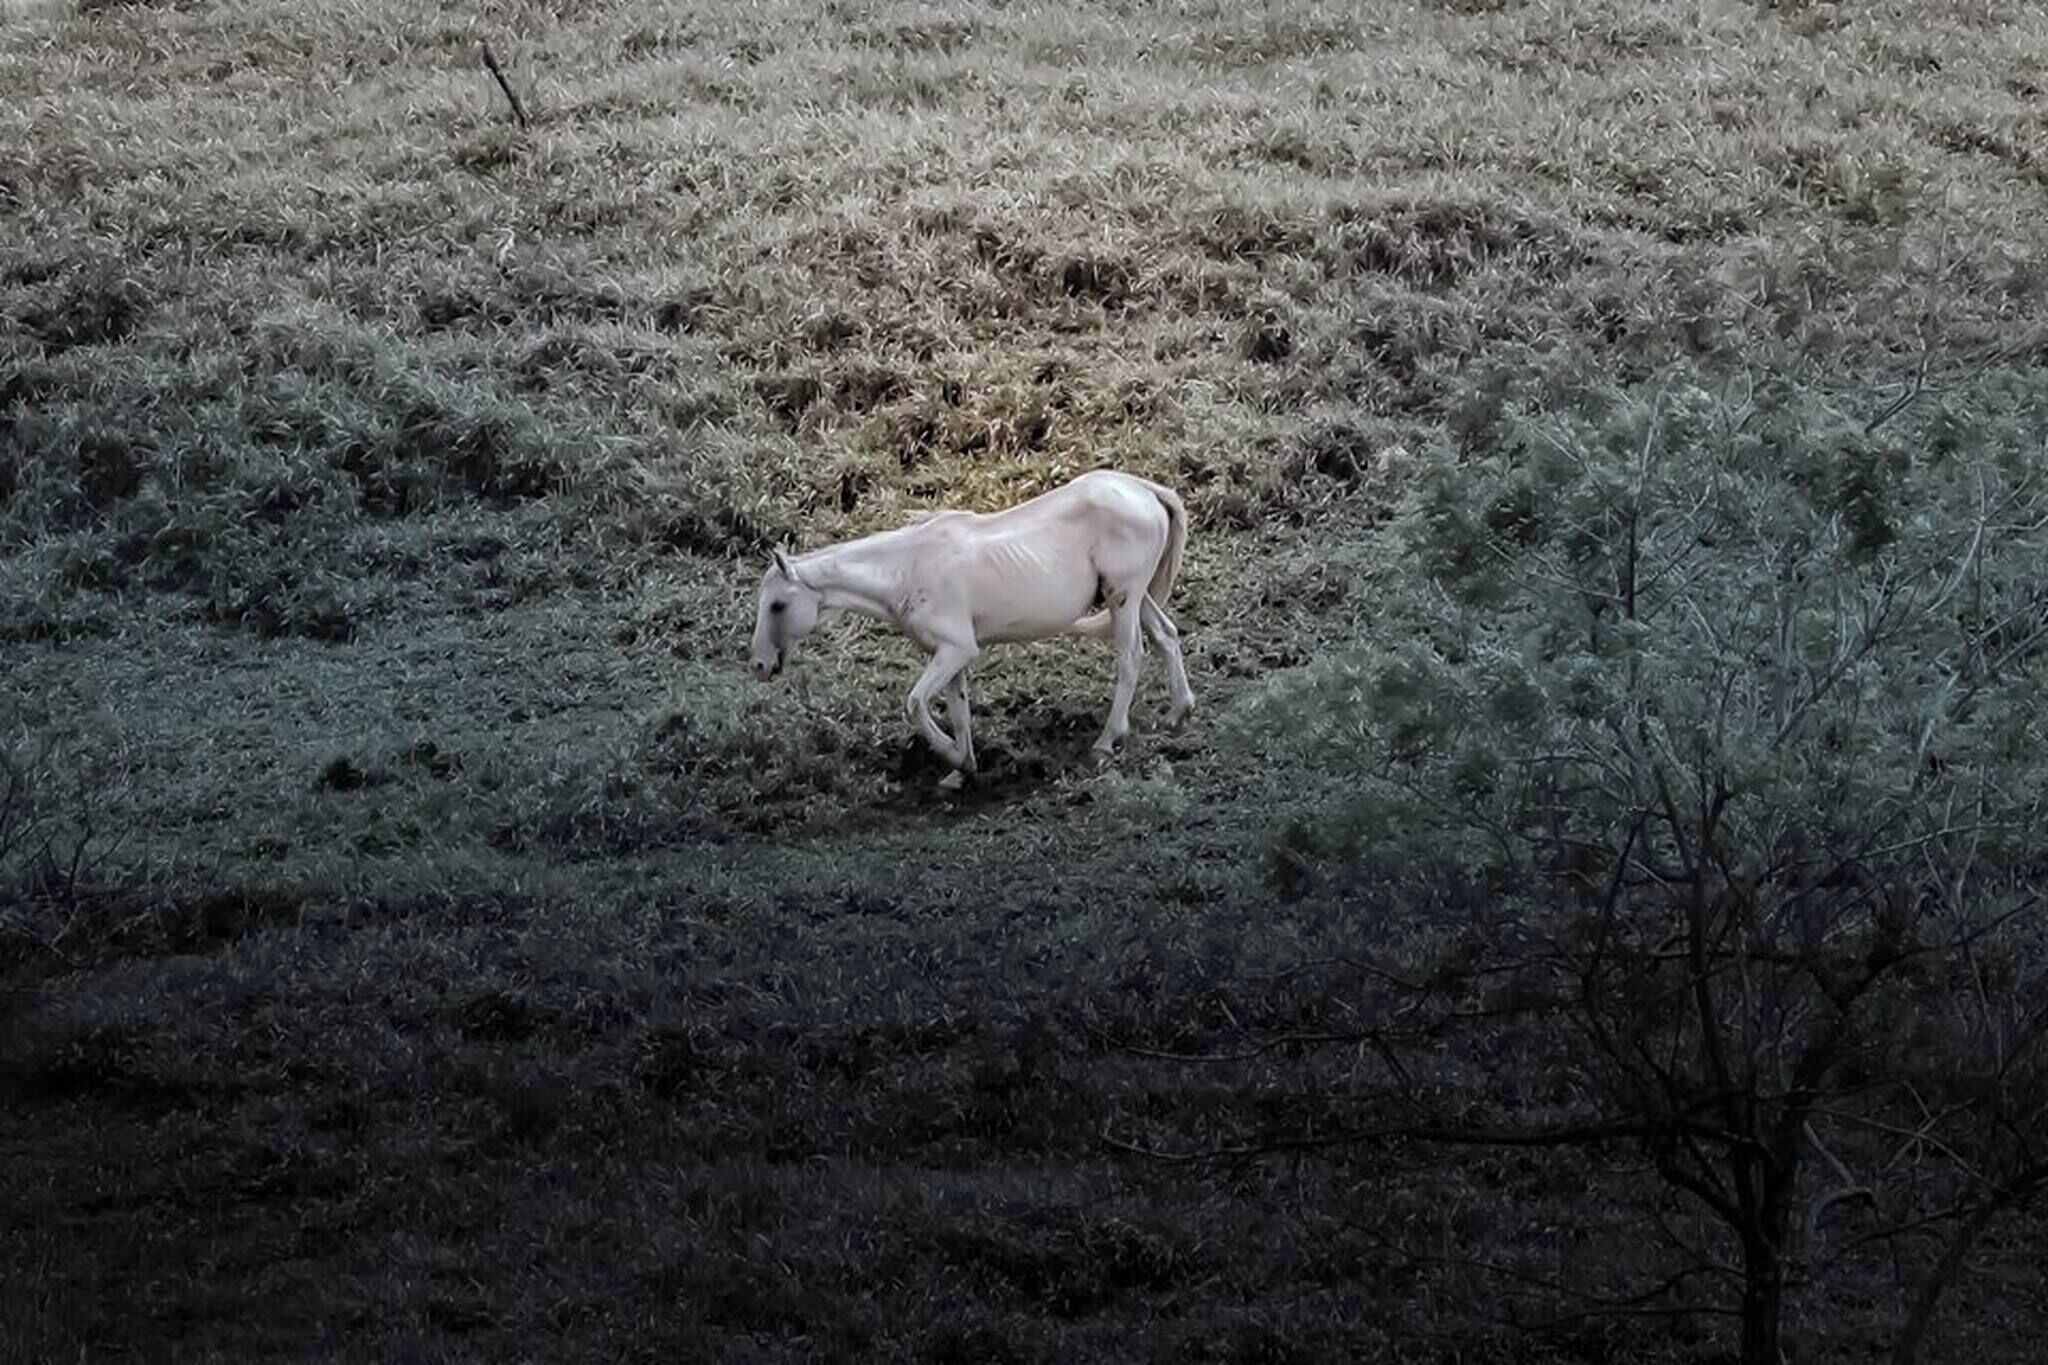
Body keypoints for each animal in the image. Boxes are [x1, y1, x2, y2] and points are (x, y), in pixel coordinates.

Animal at [747, 469, 1195, 788]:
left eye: (778, 604)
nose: (759, 666)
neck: (908, 569)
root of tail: (1144, 489)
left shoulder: (957, 650)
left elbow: (915, 703)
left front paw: (950, 755)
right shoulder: (948, 657)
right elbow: (959, 711)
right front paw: (961, 768)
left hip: (1124, 600)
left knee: (1131, 658)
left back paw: (1106, 741)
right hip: (1136, 599)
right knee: (1166, 635)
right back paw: (1178, 711)